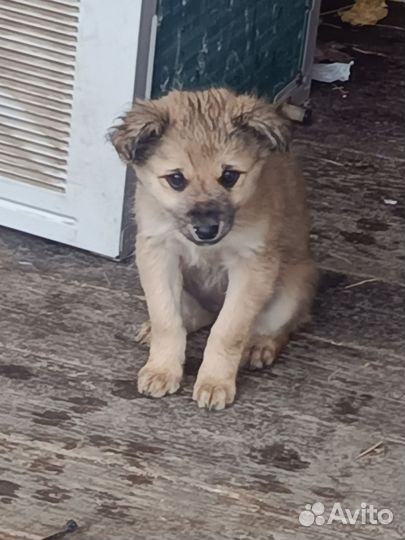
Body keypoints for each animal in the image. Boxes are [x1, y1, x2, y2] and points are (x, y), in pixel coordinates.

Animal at [109, 87, 318, 410]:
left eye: (229, 176)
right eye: (176, 179)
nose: (206, 230)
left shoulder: (253, 265)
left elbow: (227, 331)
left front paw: (215, 382)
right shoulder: (158, 252)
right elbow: (167, 320)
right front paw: (162, 369)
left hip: (293, 287)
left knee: (277, 325)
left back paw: (260, 345)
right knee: (195, 316)